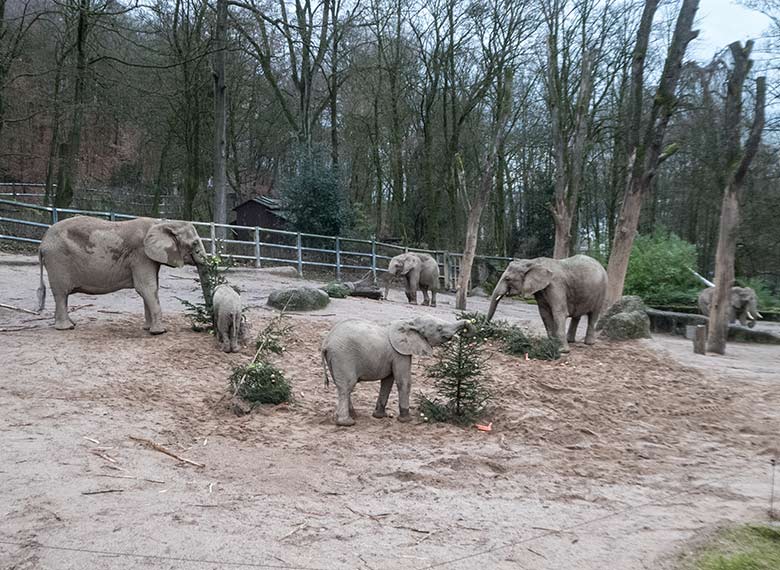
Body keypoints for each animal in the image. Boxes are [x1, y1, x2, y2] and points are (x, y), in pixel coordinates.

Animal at [36, 214, 207, 332]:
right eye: (194, 243)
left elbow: (149, 289)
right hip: (58, 259)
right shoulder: (140, 255)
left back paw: (71, 324)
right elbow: (146, 288)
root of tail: (42, 243)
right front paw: (160, 332)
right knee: (61, 293)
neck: (161, 223)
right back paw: (66, 327)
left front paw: (147, 328)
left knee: (62, 295)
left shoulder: (147, 257)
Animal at [318, 316, 476, 426]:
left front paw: (379, 416)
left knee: (342, 386)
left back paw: (354, 415)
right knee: (347, 386)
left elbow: (388, 381)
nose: (466, 331)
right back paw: (347, 423)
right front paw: (406, 420)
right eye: (439, 328)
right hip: (343, 356)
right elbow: (403, 381)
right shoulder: (400, 353)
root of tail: (326, 342)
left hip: (335, 359)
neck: (410, 321)